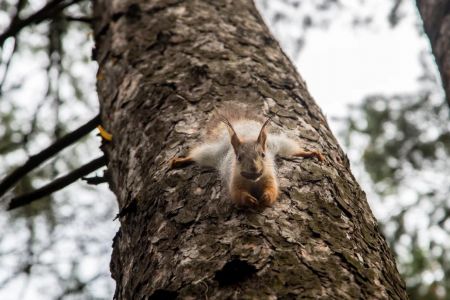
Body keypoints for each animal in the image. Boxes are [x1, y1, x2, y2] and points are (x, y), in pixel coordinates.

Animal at [169, 106, 324, 207]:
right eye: (239, 158)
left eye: (263, 155)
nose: (254, 169)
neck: (253, 182)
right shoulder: (234, 181)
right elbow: (238, 195)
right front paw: (250, 200)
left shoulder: (269, 177)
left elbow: (272, 190)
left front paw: (265, 197)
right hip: (213, 153)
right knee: (198, 155)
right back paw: (180, 161)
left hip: (278, 144)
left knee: (292, 150)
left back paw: (310, 153)